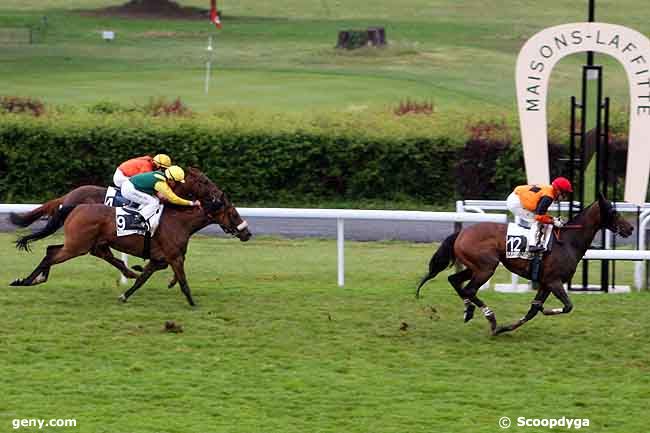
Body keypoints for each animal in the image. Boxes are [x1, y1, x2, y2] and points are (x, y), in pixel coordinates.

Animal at [9, 167, 251, 306]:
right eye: (233, 213)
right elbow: (182, 280)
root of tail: (70, 202)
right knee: (56, 254)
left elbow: (147, 276)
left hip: (82, 243)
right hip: (78, 245)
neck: (178, 219)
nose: (247, 233)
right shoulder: (174, 257)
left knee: (54, 250)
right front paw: (192, 303)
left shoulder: (161, 258)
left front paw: (130, 289)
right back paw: (25, 280)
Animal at [416, 194, 632, 336]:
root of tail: (461, 232)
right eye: (613, 211)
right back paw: (490, 318)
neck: (569, 241)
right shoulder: (554, 281)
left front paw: (507, 328)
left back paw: (469, 311)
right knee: (469, 289)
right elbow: (567, 306)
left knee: (454, 280)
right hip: (486, 267)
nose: (630, 228)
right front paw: (545, 311)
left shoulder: (545, 283)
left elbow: (534, 310)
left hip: (474, 267)